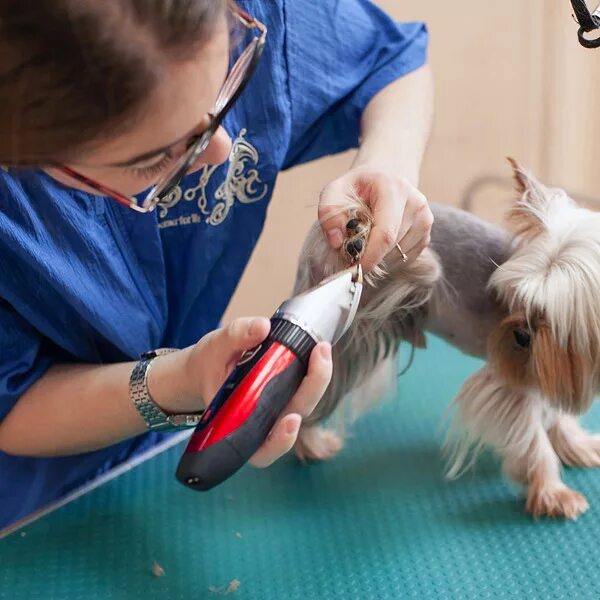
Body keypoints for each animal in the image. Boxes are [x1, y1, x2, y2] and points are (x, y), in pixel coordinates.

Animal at [292, 161, 600, 520]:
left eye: (551, 314)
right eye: (517, 299)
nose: (521, 335)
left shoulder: (551, 370)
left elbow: (557, 415)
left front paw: (576, 446)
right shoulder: (510, 381)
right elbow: (531, 438)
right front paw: (553, 492)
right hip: (343, 338)